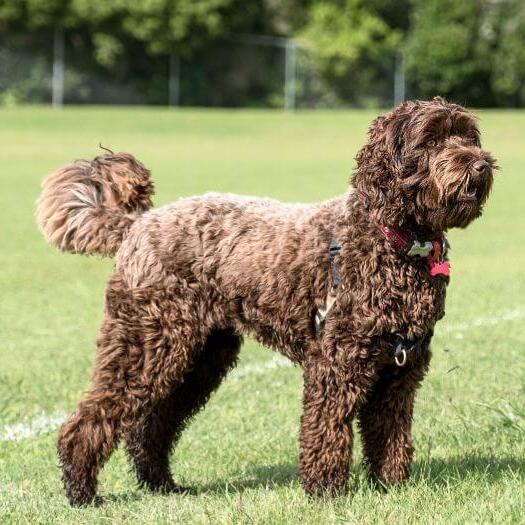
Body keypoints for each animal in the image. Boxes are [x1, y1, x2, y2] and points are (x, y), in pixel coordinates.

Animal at [36, 97, 496, 504]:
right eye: (431, 140)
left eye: (467, 136)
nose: (481, 164)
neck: (394, 241)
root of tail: (137, 223)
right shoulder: (336, 363)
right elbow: (327, 428)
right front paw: (326, 492)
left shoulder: (401, 370)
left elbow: (390, 433)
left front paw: (391, 487)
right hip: (145, 344)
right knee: (92, 419)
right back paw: (82, 492)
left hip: (200, 357)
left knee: (152, 426)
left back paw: (161, 484)